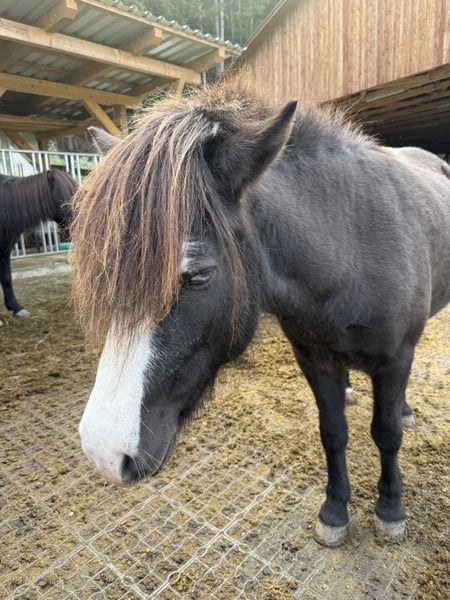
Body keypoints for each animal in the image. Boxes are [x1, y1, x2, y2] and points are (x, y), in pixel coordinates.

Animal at [71, 79, 450, 548]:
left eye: (199, 275)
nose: (104, 451)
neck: (350, 246)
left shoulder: (395, 359)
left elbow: (386, 435)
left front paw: (390, 508)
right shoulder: (313, 358)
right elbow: (333, 432)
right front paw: (334, 511)